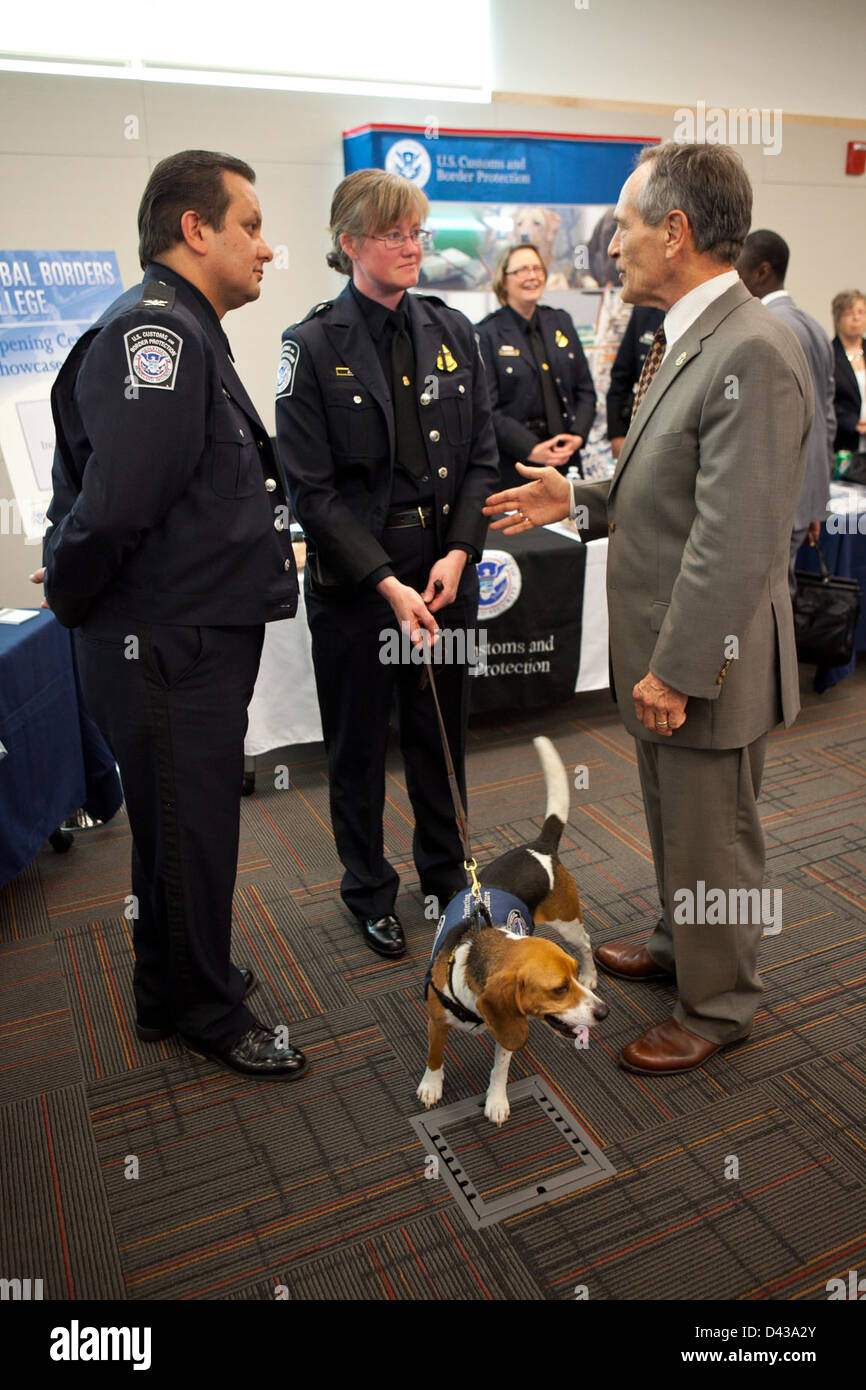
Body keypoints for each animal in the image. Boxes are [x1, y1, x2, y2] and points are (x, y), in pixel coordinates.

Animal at [417, 733, 606, 1123]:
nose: (603, 1013)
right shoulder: (436, 1020)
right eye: (559, 989)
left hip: (568, 922)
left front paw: (497, 1100)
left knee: (585, 942)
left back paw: (592, 972)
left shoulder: (508, 1028)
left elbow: (500, 1067)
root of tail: (539, 847)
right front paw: (431, 1085)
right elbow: (434, 1055)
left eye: (569, 981)